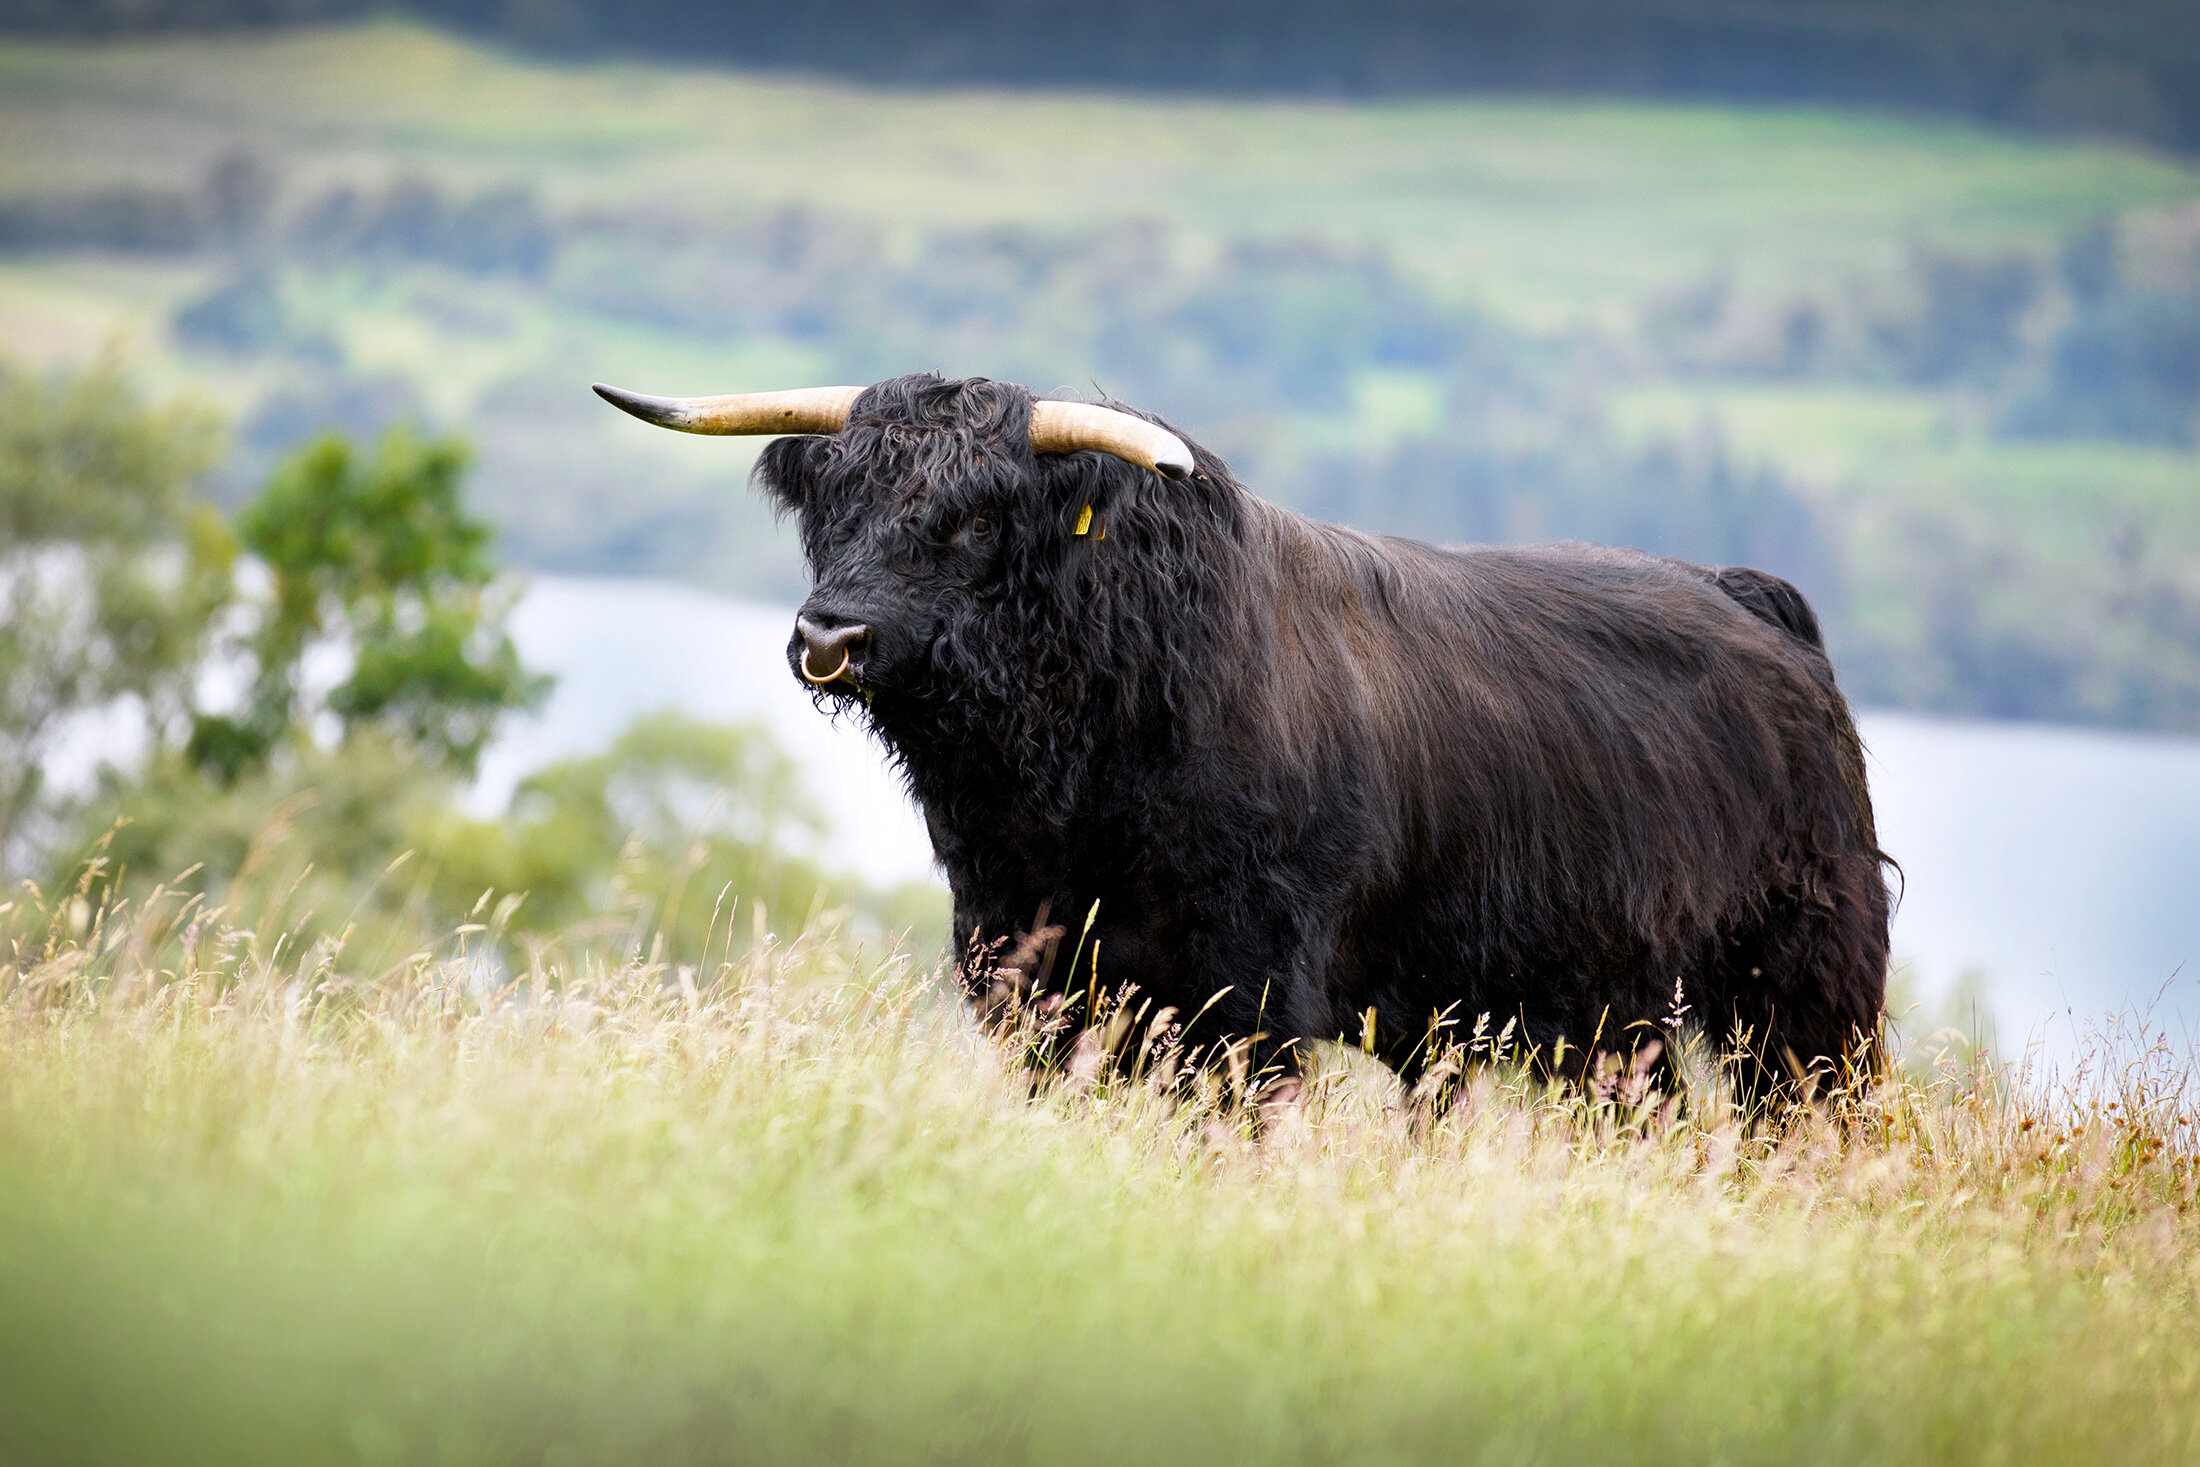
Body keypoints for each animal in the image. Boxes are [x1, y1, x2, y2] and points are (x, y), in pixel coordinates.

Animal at [598, 373, 1892, 1095]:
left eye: (971, 520)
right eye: (834, 506)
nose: (830, 632)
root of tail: (1743, 597)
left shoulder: (1248, 991)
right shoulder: (1025, 968)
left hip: (1806, 987)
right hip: (1617, 1019)